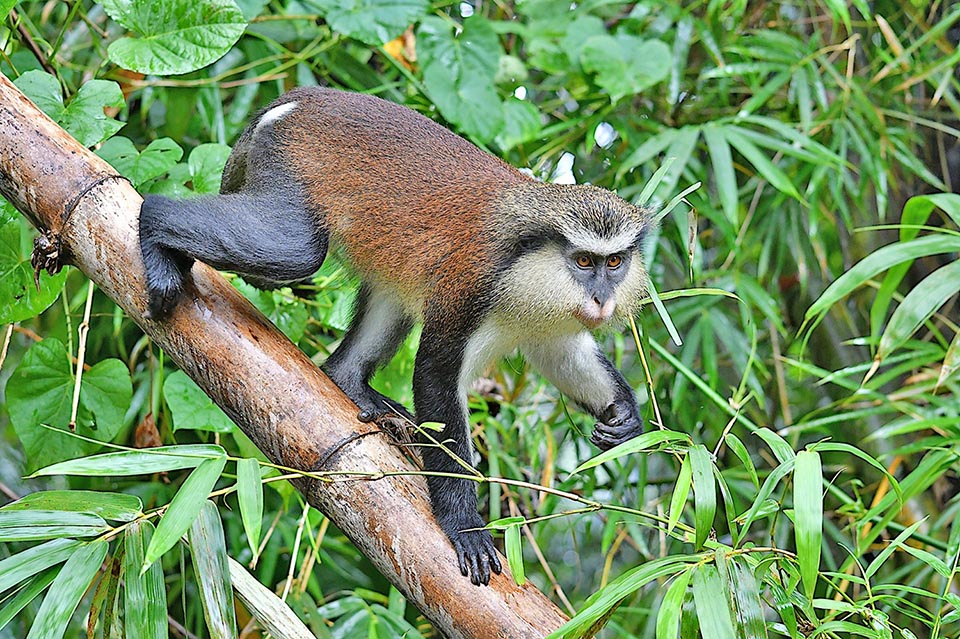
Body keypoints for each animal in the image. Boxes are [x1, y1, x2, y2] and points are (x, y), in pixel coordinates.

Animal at [139, 87, 652, 588]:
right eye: (583, 262)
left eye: (614, 262)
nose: (602, 299)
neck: (529, 268)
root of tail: (298, 100)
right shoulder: (469, 289)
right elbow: (436, 377)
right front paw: (465, 524)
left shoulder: (552, 324)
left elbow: (564, 355)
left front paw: (625, 417)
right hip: (290, 171)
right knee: (294, 250)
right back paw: (154, 225)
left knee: (386, 302)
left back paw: (350, 381)